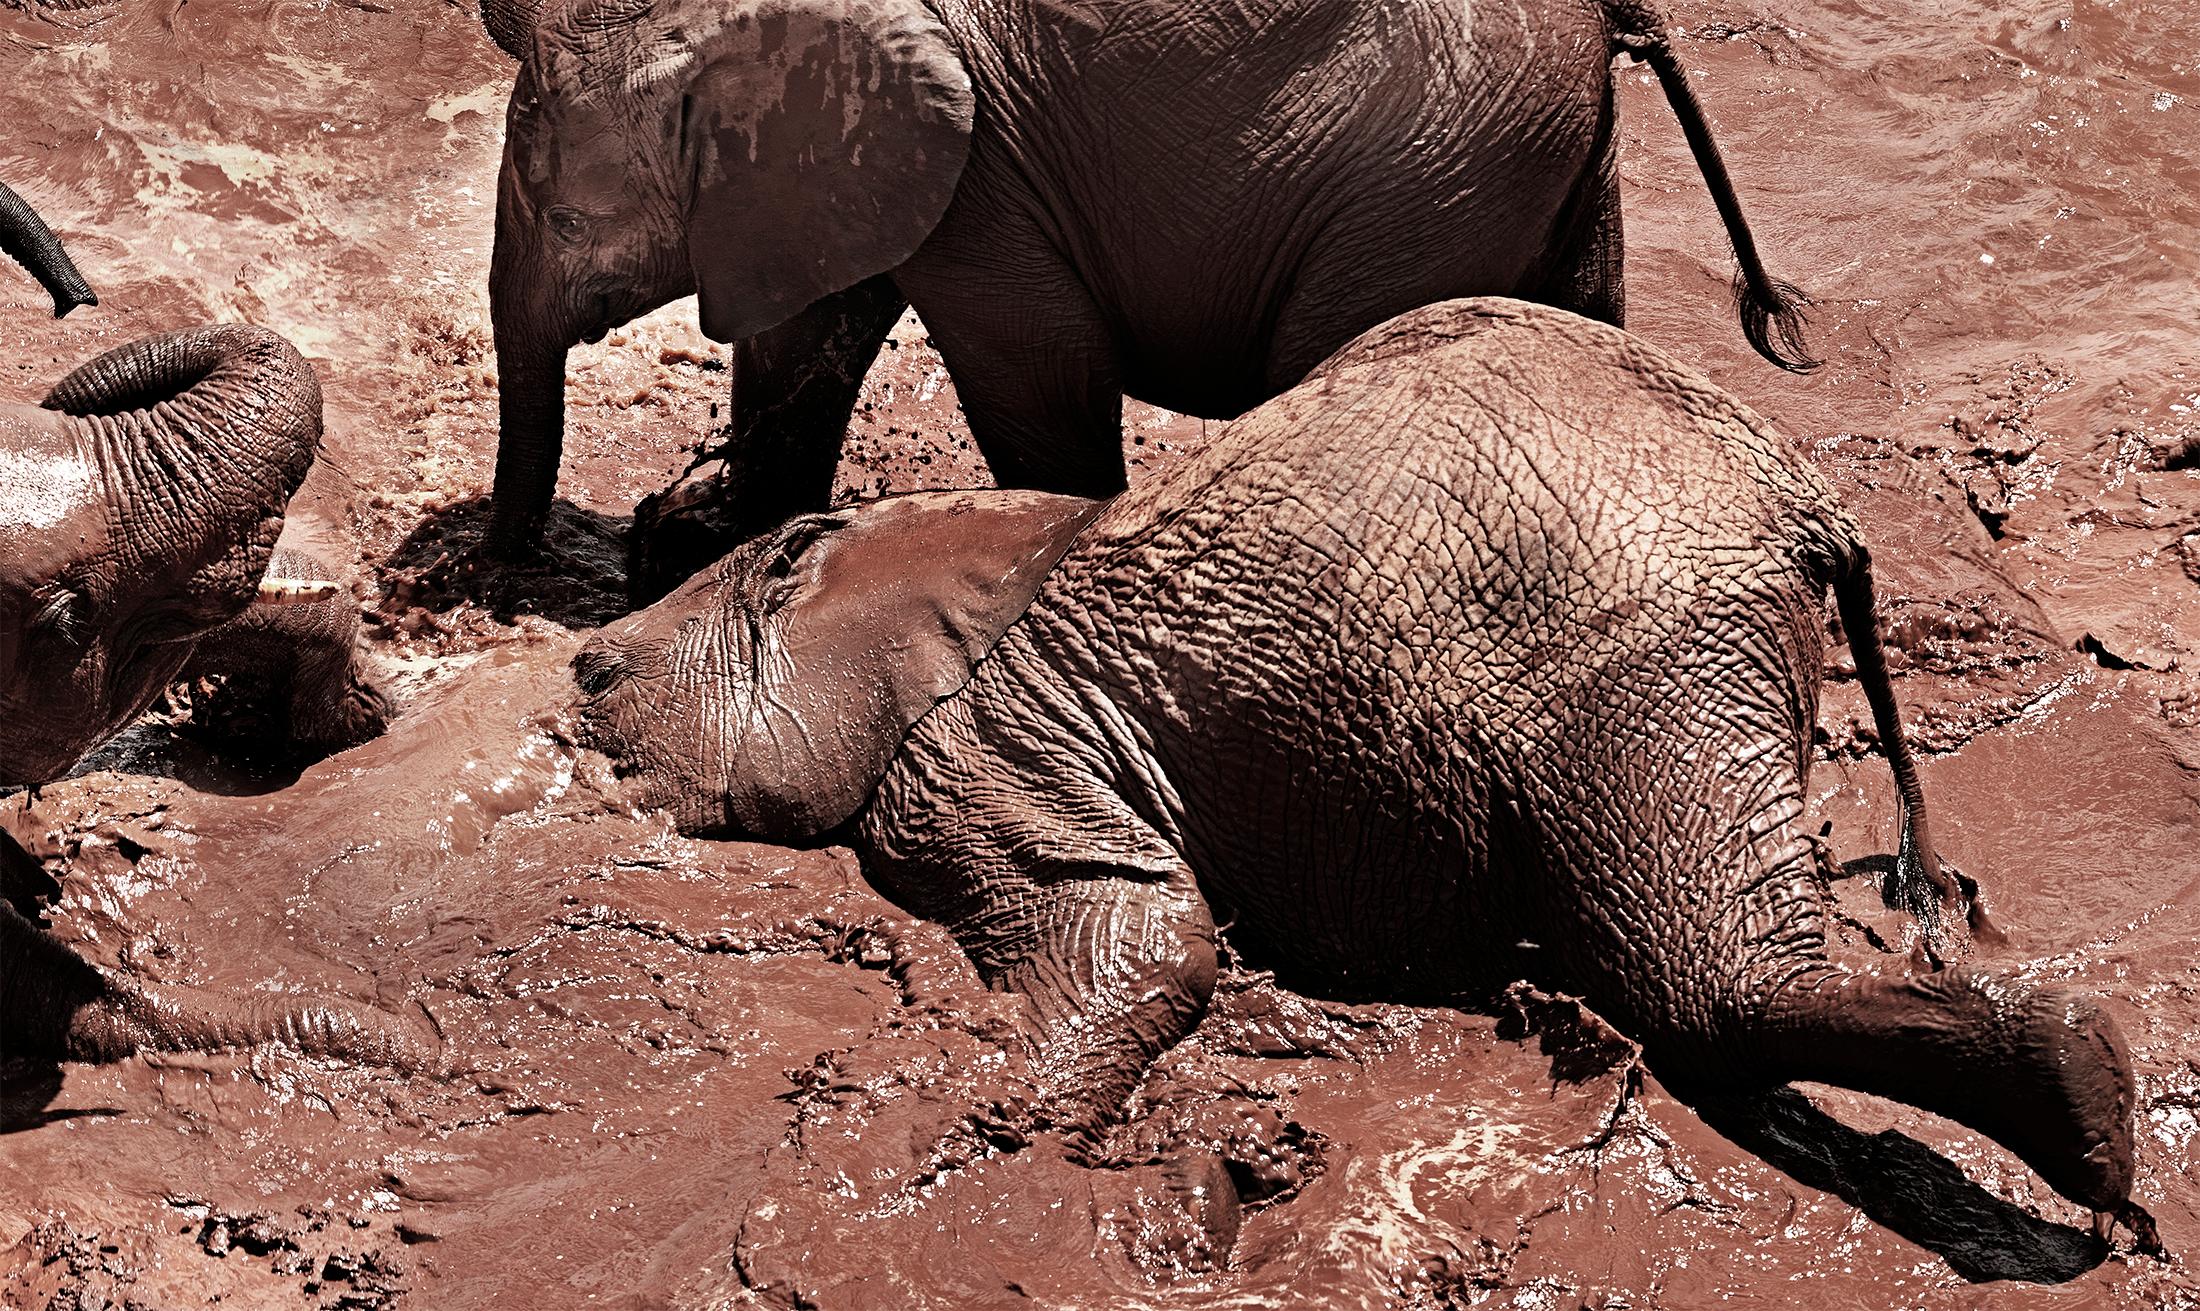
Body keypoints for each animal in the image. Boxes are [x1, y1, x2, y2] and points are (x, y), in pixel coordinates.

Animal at [477, 0, 1821, 598]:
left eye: (557, 211)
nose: (500, 574)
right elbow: (813, 334)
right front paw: (697, 534)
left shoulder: (985, 172)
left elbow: (1034, 368)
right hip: (1546, 165)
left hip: (1436, 171)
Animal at [576, 299, 2138, 1249]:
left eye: (598, 681)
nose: (572, 681)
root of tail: (1804, 497)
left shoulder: (979, 742)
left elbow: (1144, 932)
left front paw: (935, 1154)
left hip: (1637, 657)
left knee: (1698, 982)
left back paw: (2096, 1118)